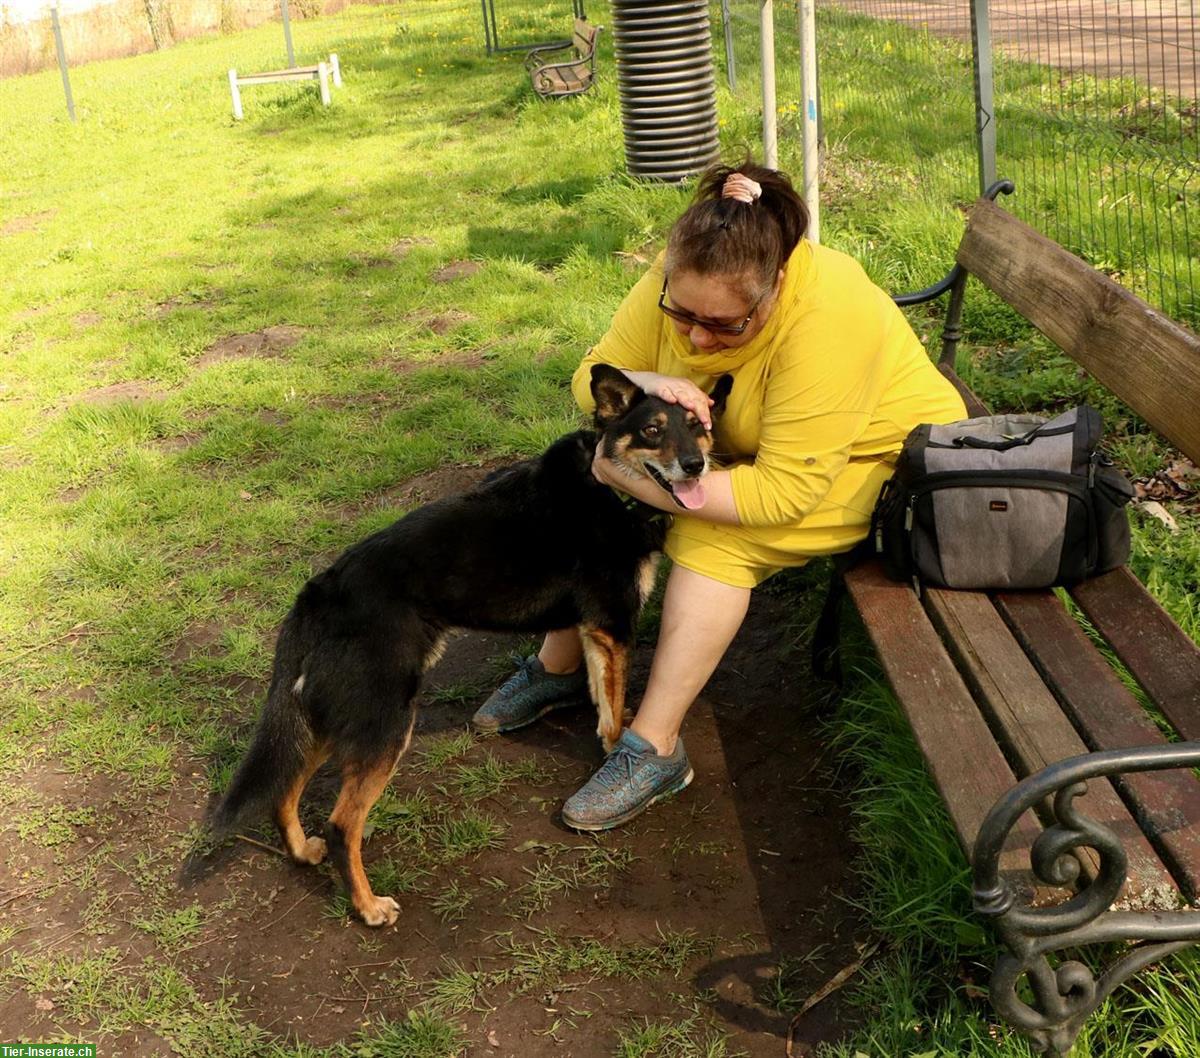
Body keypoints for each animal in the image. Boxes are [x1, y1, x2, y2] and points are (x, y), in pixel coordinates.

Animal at [210, 362, 729, 921]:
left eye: (697, 426)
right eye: (652, 430)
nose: (695, 465)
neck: (608, 485)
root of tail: (316, 595)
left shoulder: (593, 630)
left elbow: (601, 699)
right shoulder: (612, 625)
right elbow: (611, 710)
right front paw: (617, 753)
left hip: (336, 714)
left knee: (284, 789)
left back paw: (303, 851)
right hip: (385, 723)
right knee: (343, 823)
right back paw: (368, 907)